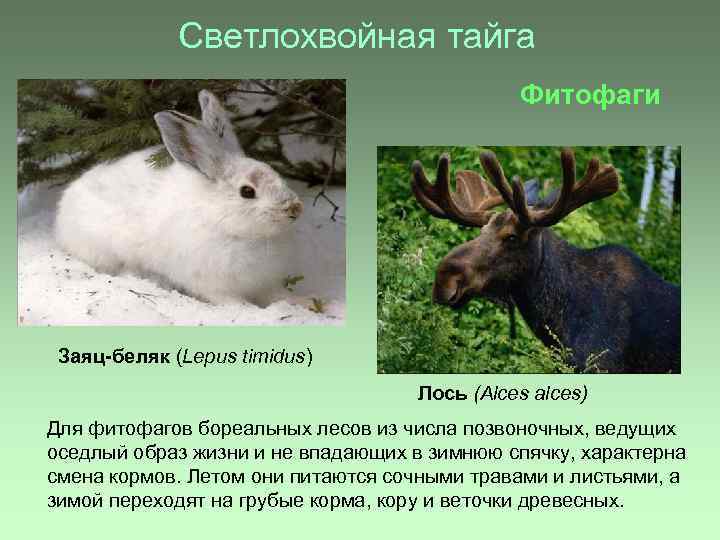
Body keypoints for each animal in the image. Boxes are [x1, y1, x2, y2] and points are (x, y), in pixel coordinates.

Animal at [55, 90, 304, 307]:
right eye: (247, 192)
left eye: (273, 172)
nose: (294, 208)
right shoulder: (210, 282)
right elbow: (230, 301)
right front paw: (245, 310)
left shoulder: (265, 283)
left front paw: (299, 303)